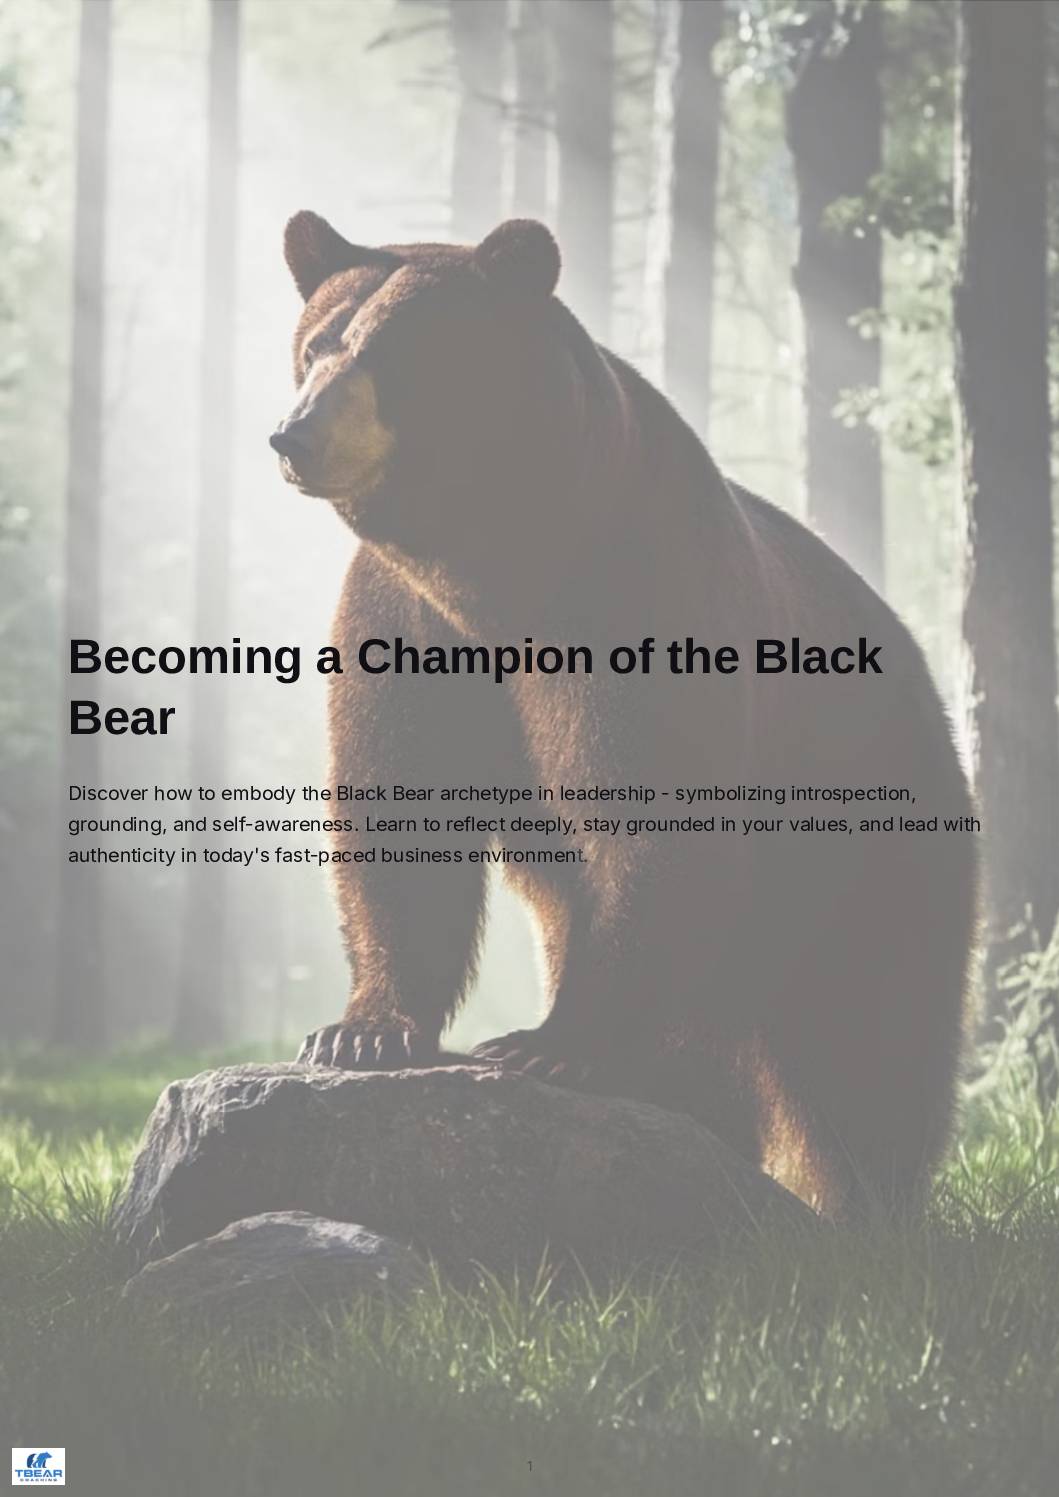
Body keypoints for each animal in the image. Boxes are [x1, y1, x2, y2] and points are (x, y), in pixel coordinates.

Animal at [271, 212, 977, 1217]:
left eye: (390, 350)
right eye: (315, 345)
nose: (293, 435)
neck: (497, 562)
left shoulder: (635, 594)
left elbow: (650, 812)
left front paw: (547, 1046)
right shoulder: (404, 621)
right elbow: (397, 801)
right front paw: (360, 1031)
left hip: (866, 823)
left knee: (869, 1026)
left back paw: (865, 1200)